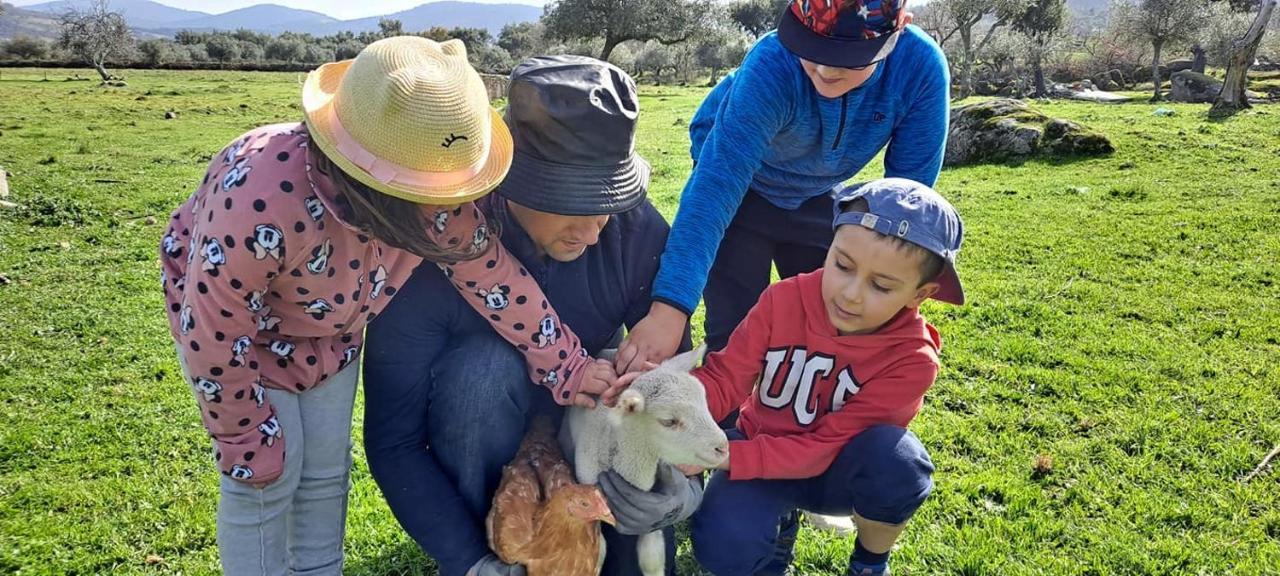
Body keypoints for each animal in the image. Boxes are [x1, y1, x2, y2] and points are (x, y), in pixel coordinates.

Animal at [563, 345, 732, 576]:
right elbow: (597, 554)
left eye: (705, 403)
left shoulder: (650, 521)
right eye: (669, 421)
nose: (723, 448)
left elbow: (652, 559)